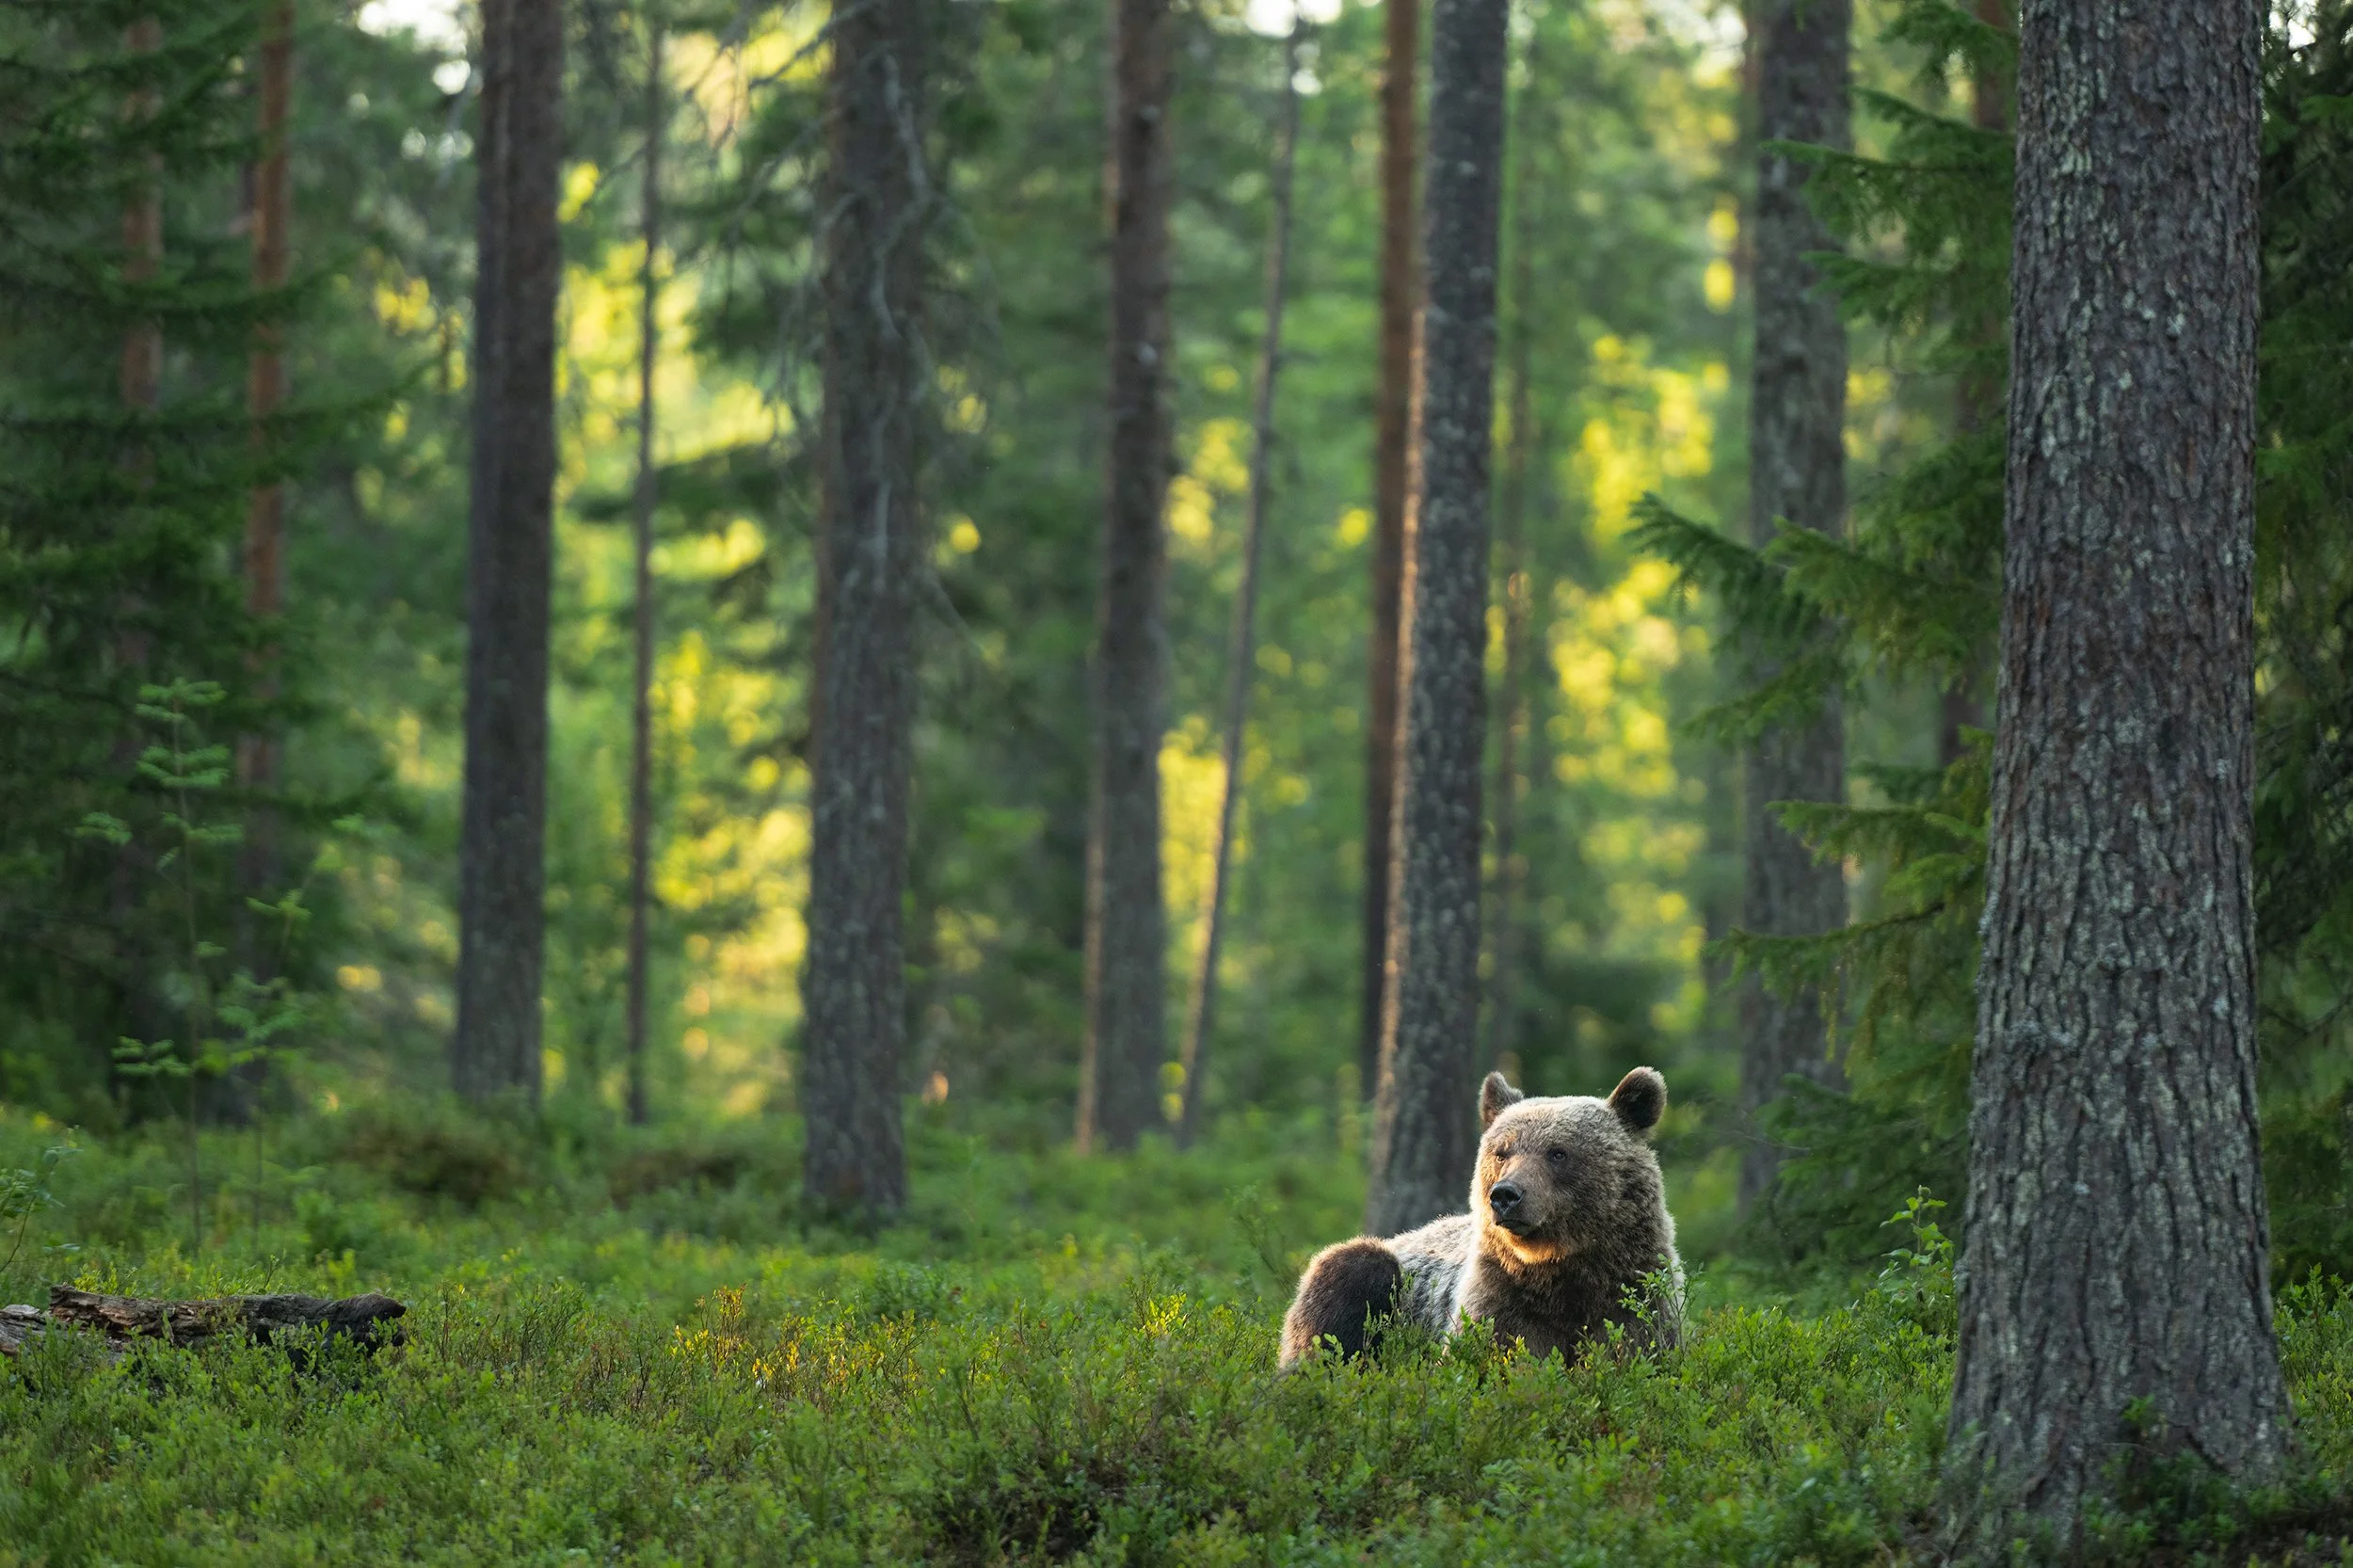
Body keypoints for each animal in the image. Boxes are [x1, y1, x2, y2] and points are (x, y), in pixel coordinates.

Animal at [1279, 1066, 1683, 1368]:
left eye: (1558, 1152)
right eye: (1502, 1152)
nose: (1505, 1195)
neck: (1563, 1271)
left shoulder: (1635, 1296)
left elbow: (1638, 1350)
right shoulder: (1500, 1299)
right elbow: (1492, 1356)